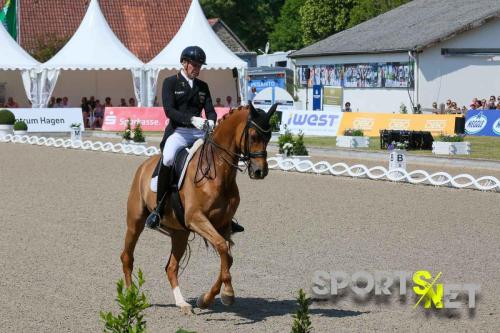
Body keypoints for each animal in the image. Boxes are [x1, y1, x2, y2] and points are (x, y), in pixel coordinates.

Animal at [119, 102, 280, 312]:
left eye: (268, 137)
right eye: (253, 136)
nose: (260, 171)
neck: (217, 172)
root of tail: (145, 165)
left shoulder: (222, 224)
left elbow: (227, 256)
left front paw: (207, 298)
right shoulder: (196, 218)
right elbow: (222, 248)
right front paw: (228, 293)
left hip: (180, 233)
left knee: (171, 267)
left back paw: (182, 303)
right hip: (136, 221)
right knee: (127, 257)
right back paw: (131, 297)